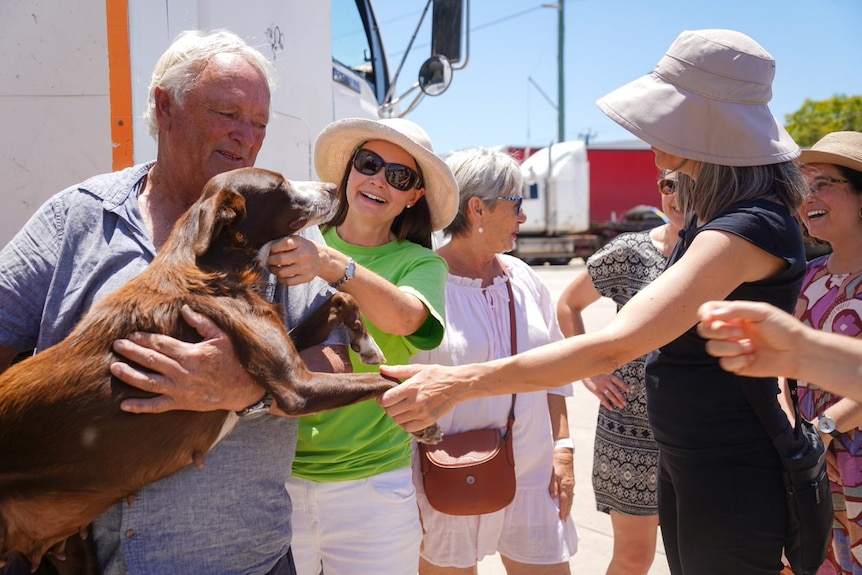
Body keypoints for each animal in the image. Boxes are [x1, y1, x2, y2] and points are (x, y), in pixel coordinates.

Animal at [0, 166, 436, 572]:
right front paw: (424, 411)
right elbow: (379, 380)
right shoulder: (297, 386)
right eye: (279, 186)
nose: (332, 188)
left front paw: (368, 344)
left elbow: (343, 300)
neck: (213, 265)